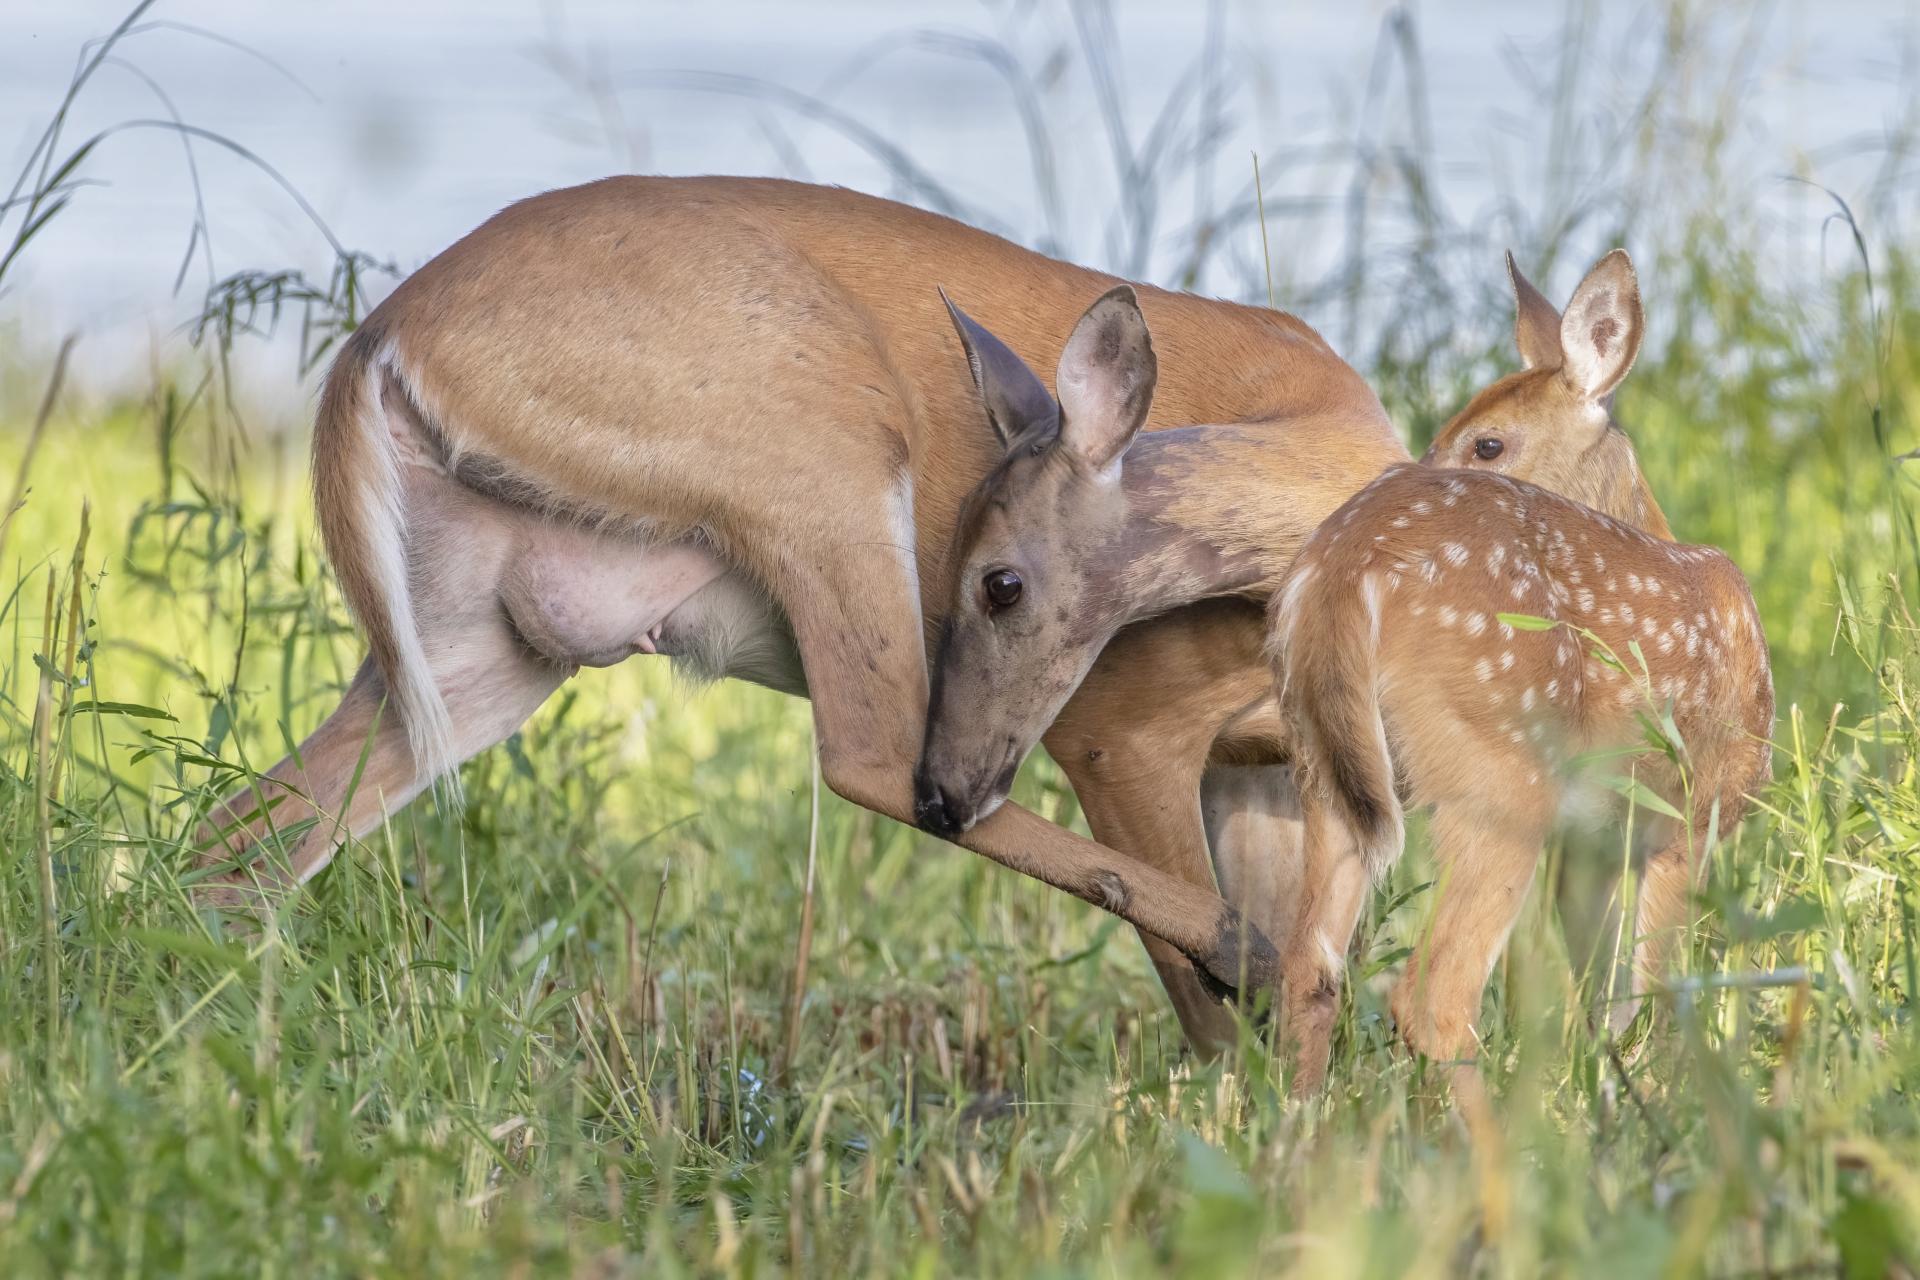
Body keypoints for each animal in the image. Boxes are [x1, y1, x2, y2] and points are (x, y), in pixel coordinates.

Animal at [195, 175, 1412, 1055]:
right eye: (992, 581)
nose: (954, 784)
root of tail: (378, 339)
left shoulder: (1268, 768)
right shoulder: (1123, 729)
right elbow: (1215, 1009)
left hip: (479, 640)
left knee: (247, 831)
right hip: (828, 452)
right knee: (867, 754)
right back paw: (1238, 948)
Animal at [913, 248, 1772, 1095]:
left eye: (1487, 443)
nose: (1397, 471)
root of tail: (1339, 572)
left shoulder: (1595, 849)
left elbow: (1609, 1004)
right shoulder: (1696, 813)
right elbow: (1659, 1001)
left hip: (1330, 771)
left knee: (1310, 969)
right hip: (1499, 782)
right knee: (1432, 993)